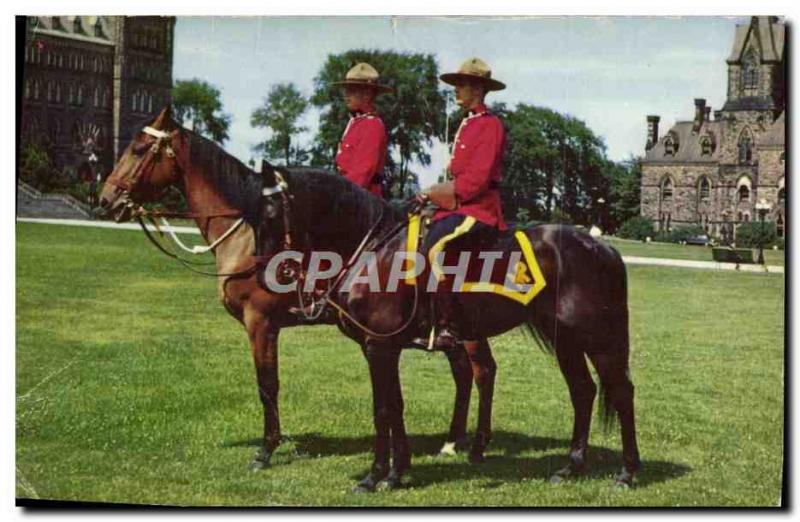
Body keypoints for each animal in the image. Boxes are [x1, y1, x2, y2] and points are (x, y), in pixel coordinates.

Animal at [98, 106, 494, 472]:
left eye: (138, 148)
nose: (105, 200)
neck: (249, 234)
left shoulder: (260, 323)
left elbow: (267, 384)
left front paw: (266, 450)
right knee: (466, 372)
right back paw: (453, 441)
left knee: (481, 372)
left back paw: (471, 445)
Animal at [256, 164, 644, 492]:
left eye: (272, 213)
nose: (262, 275)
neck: (374, 250)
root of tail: (601, 246)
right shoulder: (383, 348)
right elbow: (395, 405)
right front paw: (397, 472)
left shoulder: (379, 347)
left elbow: (382, 410)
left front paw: (374, 476)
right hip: (565, 340)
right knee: (583, 391)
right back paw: (571, 467)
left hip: (597, 339)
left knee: (621, 392)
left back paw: (627, 473)